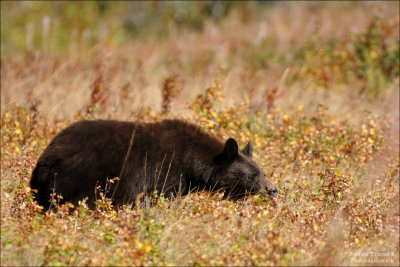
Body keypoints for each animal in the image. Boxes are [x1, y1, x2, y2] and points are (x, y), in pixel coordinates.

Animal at [29, 119, 278, 209]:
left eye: (262, 172)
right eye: (254, 176)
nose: (273, 189)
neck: (192, 162)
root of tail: (44, 159)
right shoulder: (163, 172)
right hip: (79, 177)